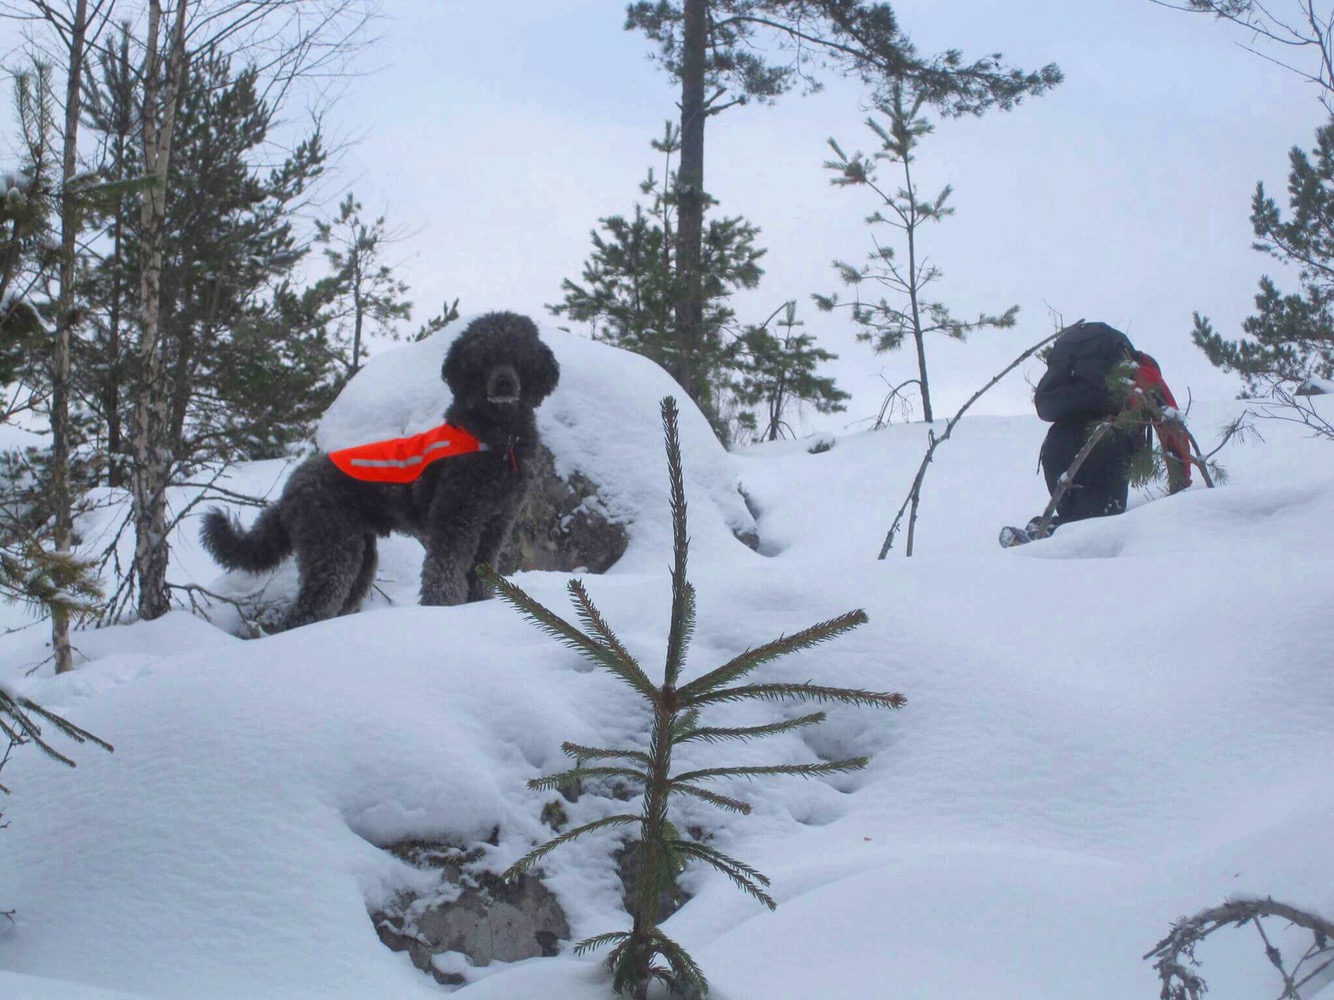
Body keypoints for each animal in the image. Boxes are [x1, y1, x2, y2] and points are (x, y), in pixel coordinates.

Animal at [200, 312, 560, 630]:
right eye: (484, 359)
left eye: (519, 356)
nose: (504, 384)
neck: (498, 436)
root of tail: (292, 487)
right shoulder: (455, 519)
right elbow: (444, 574)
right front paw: (442, 610)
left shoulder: (496, 523)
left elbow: (481, 576)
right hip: (331, 549)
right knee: (305, 611)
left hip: (359, 555)